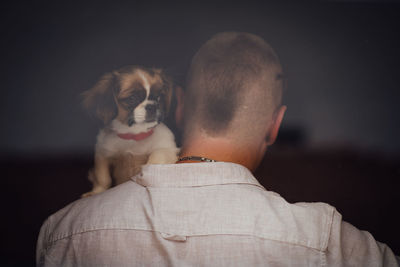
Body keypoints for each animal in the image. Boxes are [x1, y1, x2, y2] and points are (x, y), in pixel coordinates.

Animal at [81, 66, 178, 198]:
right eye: (132, 99)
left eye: (159, 97)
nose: (152, 106)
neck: (133, 136)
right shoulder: (102, 153)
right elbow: (103, 177)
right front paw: (97, 192)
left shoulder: (166, 148)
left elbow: (154, 160)